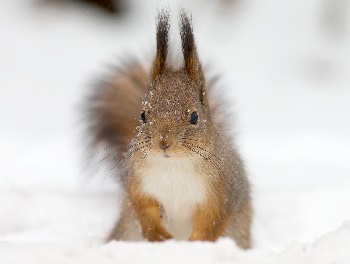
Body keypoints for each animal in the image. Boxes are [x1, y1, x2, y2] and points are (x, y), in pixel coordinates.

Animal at [86, 9, 253, 250]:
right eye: (143, 115)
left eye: (194, 117)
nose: (163, 142)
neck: (173, 166)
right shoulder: (138, 183)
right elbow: (142, 208)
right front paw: (159, 237)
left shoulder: (221, 191)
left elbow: (212, 220)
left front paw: (195, 244)